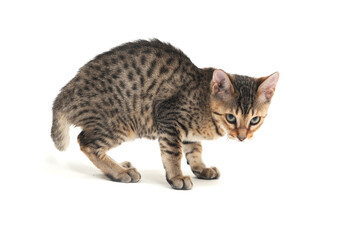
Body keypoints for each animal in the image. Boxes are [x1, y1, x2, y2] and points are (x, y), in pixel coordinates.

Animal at [52, 39, 280, 189]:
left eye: (255, 120)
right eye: (231, 117)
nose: (242, 137)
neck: (205, 101)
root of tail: (64, 94)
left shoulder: (188, 133)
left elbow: (195, 149)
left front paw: (201, 168)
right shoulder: (168, 116)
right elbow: (174, 152)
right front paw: (177, 176)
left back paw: (120, 165)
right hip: (120, 123)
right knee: (86, 142)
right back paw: (120, 172)